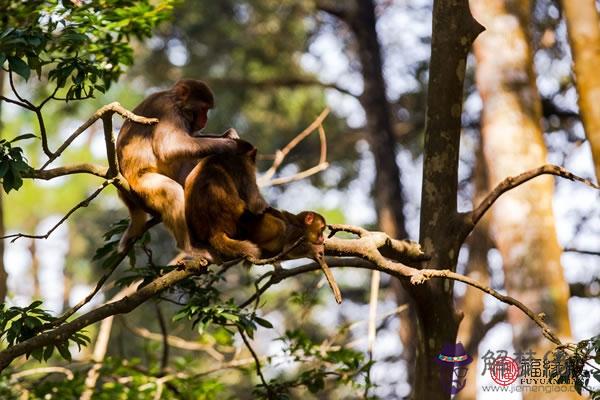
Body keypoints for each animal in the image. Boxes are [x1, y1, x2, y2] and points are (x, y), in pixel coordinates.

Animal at [116, 78, 247, 253]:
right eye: (203, 109)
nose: (205, 120)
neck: (176, 103)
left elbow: (191, 136)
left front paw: (229, 134)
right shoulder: (168, 112)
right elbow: (169, 147)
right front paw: (229, 145)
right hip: (141, 184)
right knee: (172, 190)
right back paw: (188, 247)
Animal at [183, 139, 342, 302]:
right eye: (321, 229)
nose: (322, 237)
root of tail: (214, 231)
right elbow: (259, 207)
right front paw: (314, 250)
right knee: (277, 225)